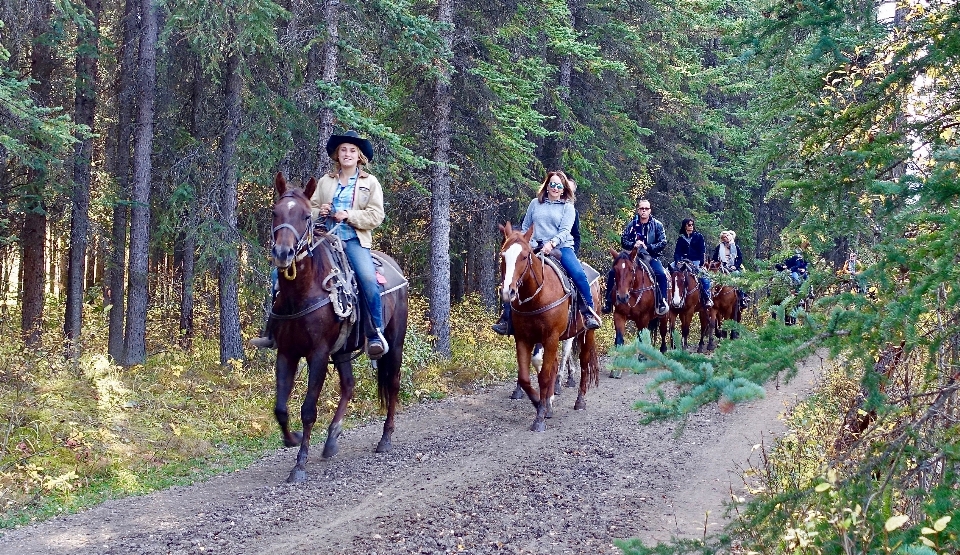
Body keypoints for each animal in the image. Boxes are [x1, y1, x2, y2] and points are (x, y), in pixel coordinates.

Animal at [270, 174, 408, 482]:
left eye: (305, 216)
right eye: (275, 212)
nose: (283, 253)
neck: (302, 292)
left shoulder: (319, 354)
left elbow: (308, 409)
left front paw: (299, 465)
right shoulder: (286, 352)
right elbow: (281, 408)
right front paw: (293, 439)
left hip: (394, 342)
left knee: (393, 383)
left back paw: (386, 438)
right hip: (343, 350)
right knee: (349, 385)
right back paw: (332, 439)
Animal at [498, 224, 596, 432]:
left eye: (525, 256)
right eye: (503, 255)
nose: (508, 292)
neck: (537, 296)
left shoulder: (550, 337)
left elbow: (543, 375)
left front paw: (540, 416)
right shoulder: (524, 338)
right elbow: (525, 377)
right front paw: (539, 402)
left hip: (586, 333)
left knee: (583, 364)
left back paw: (580, 401)